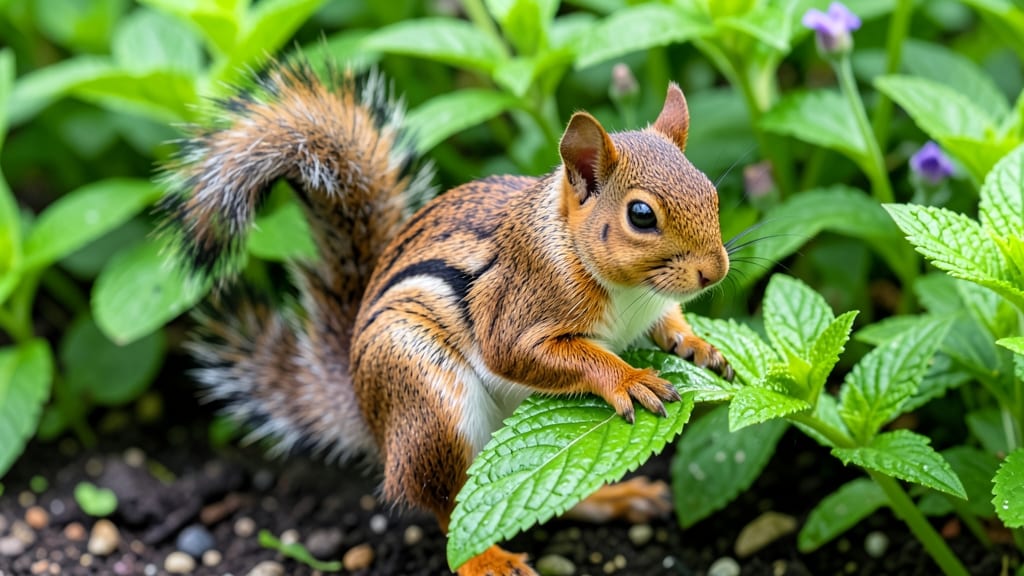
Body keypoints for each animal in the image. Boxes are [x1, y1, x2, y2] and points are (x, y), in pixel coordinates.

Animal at [161, 59, 732, 576]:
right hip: (430, 401)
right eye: (641, 215)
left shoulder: (653, 308)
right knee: (449, 508)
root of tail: (368, 414)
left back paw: (617, 497)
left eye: (712, 192)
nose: (716, 271)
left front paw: (701, 347)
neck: (628, 291)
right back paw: (488, 561)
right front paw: (630, 378)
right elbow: (535, 353)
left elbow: (670, 322)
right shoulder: (516, 307)